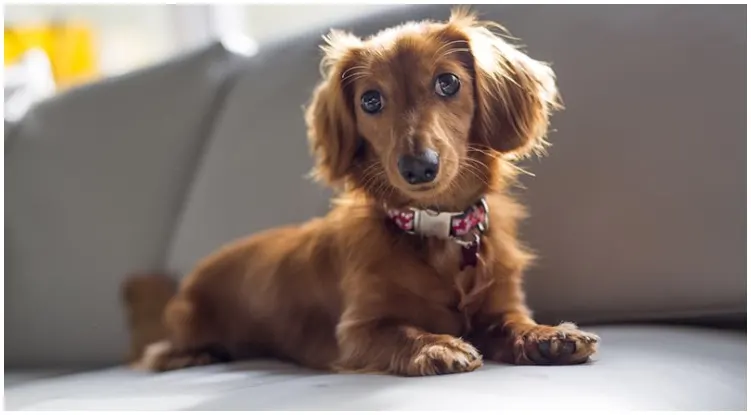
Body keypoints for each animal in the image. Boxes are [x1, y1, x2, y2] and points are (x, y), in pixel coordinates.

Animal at [140, 7, 600, 376]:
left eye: (448, 82)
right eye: (371, 100)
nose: (418, 167)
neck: (438, 229)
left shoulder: (500, 304)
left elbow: (513, 323)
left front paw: (548, 335)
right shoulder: (358, 330)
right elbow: (400, 331)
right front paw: (435, 345)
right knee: (157, 351)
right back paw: (190, 355)